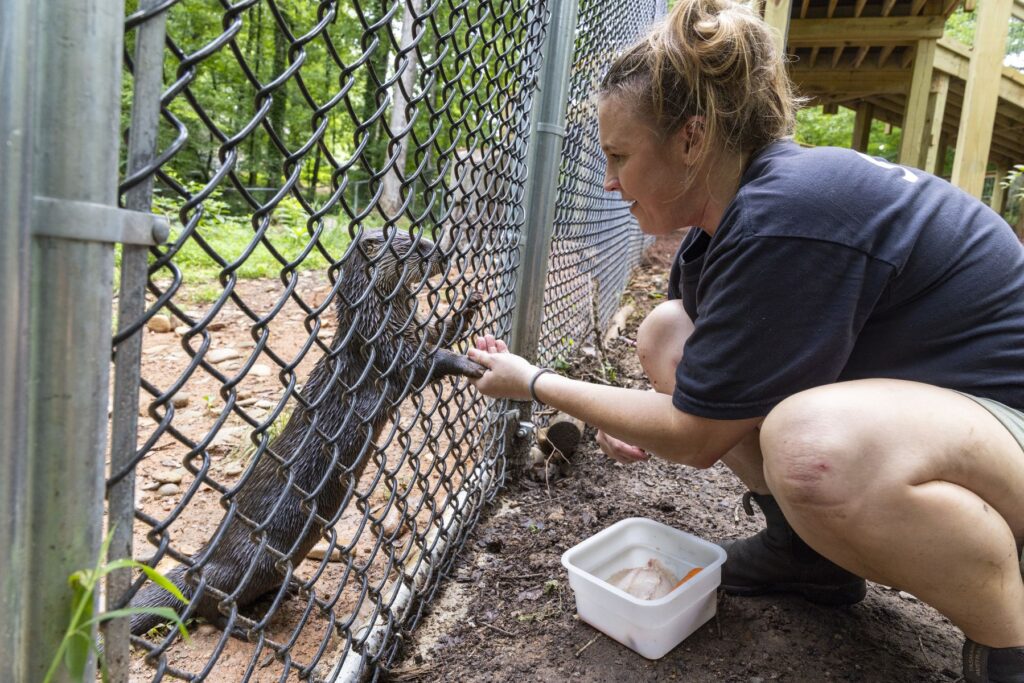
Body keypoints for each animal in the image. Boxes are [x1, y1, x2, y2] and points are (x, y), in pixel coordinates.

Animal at [130, 229, 485, 634]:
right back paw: (242, 626)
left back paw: (285, 591)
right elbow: (429, 363)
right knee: (207, 606)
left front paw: (469, 304)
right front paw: (468, 363)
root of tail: (198, 565)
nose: (444, 253)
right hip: (243, 565)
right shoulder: (387, 354)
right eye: (416, 245)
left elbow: (439, 332)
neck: (378, 320)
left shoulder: (410, 333)